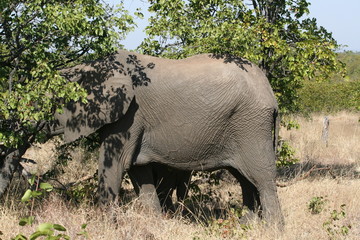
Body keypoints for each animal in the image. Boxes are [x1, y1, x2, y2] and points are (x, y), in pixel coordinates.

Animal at [55, 50, 284, 225]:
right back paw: (247, 224)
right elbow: (138, 171)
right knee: (245, 178)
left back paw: (272, 229)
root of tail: (271, 94)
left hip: (251, 124)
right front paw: (156, 222)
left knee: (262, 177)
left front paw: (105, 226)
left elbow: (116, 164)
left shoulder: (129, 117)